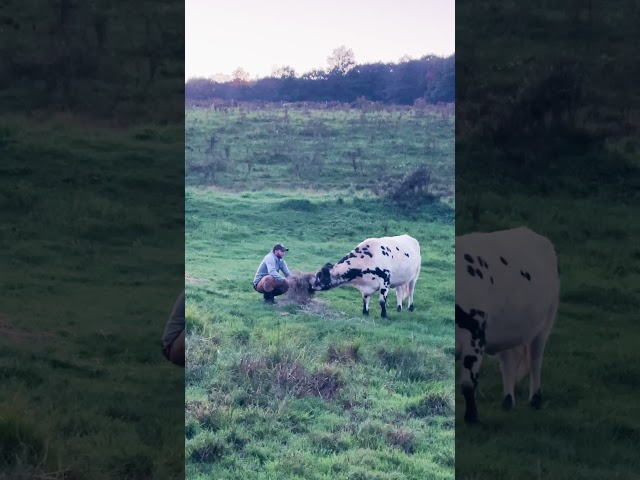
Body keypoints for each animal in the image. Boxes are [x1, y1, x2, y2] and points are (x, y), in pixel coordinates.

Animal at [455, 226, 560, 424]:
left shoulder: (475, 334)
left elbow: (467, 384)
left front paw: (471, 418)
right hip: (509, 329)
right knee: (509, 362)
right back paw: (508, 402)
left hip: (545, 322)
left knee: (535, 360)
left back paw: (535, 400)